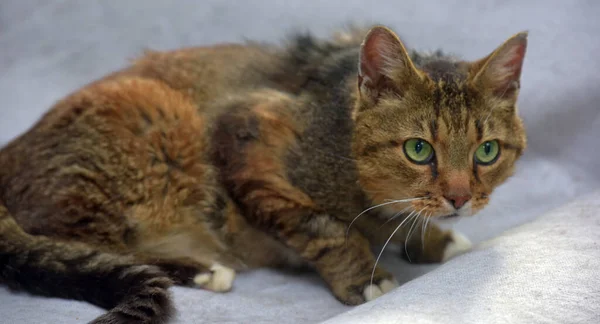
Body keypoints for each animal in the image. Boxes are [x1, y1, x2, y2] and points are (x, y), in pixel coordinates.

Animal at [0, 26, 524, 324]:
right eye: (418, 149)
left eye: (487, 151)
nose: (460, 197)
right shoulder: (246, 138)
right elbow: (321, 227)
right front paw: (364, 276)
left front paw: (431, 239)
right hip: (154, 113)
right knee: (79, 242)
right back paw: (199, 268)